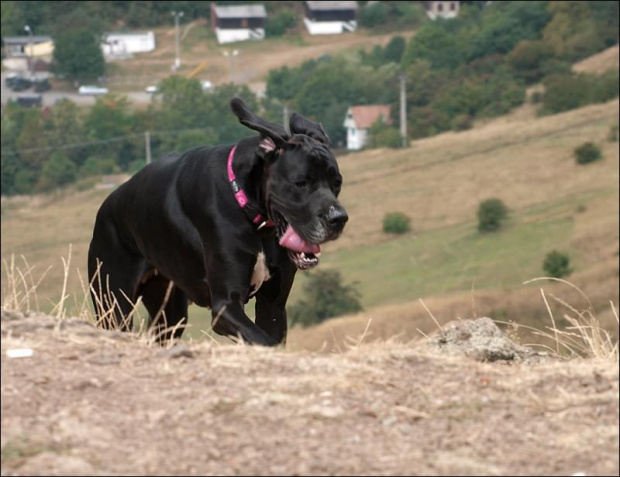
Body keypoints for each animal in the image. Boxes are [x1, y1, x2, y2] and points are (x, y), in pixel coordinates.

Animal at [88, 98, 348, 346]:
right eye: (301, 183)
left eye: (337, 182)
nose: (339, 219)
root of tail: (106, 207)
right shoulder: (226, 306)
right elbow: (263, 341)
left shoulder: (272, 305)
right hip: (113, 304)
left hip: (170, 310)